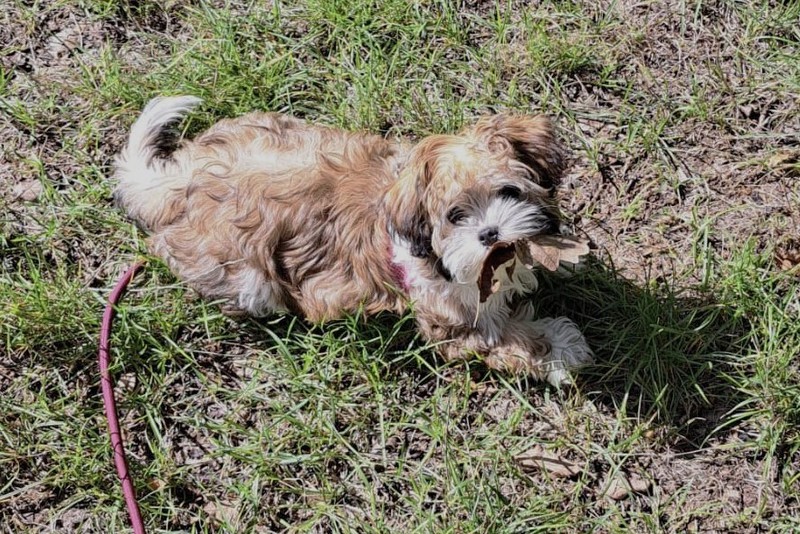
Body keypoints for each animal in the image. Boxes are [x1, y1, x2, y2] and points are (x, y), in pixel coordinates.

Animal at [113, 96, 593, 386]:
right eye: (455, 217)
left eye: (509, 192)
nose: (490, 234)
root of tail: (181, 181)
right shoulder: (453, 322)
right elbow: (506, 338)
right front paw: (559, 347)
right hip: (248, 278)